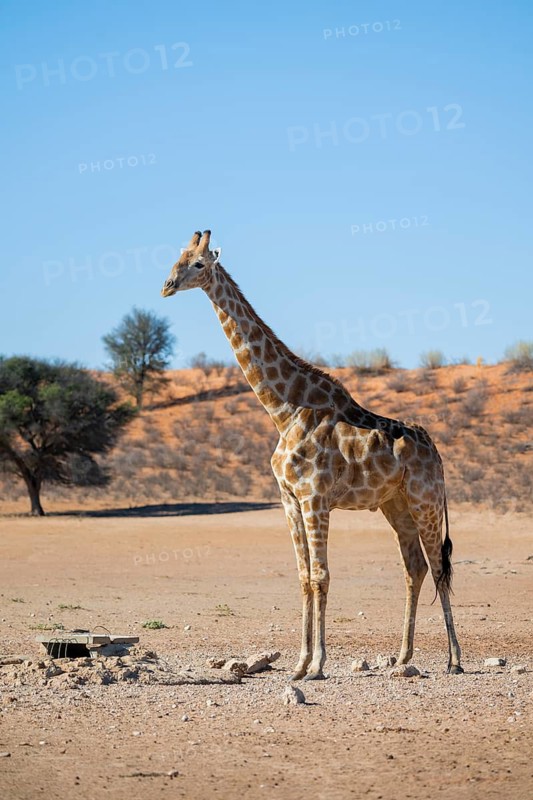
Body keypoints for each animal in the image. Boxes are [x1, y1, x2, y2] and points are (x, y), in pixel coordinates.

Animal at [161, 230, 463, 680]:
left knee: (440, 567)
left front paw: (318, 664)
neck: (283, 410)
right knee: (416, 566)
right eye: (177, 258)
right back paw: (403, 658)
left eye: (198, 263)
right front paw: (300, 664)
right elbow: (304, 577)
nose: (166, 286)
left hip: (425, 501)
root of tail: (436, 451)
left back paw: (454, 660)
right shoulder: (289, 499)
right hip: (396, 505)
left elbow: (321, 576)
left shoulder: (314, 498)